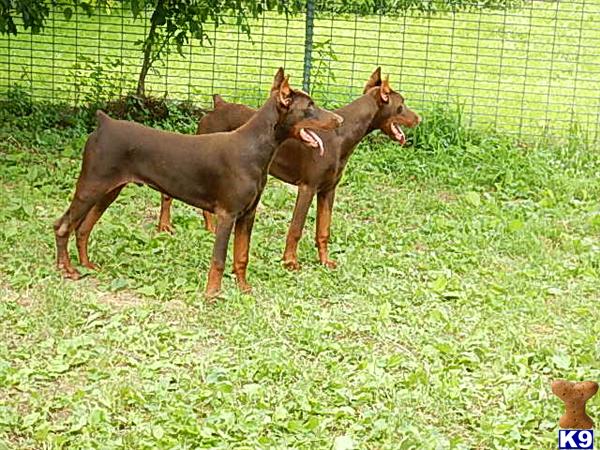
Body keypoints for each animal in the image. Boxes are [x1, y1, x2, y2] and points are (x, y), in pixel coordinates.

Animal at [54, 70, 342, 298]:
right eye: (310, 106)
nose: (339, 121)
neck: (254, 148)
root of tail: (104, 123)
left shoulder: (247, 215)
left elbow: (242, 255)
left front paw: (244, 289)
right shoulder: (227, 214)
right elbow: (218, 259)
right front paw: (212, 295)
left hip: (108, 191)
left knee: (83, 228)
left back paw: (86, 265)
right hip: (90, 186)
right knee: (63, 225)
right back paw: (66, 269)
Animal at [157, 68, 420, 268]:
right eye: (402, 104)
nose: (419, 119)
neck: (342, 135)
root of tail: (218, 105)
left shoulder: (328, 190)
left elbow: (323, 230)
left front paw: (325, 262)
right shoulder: (307, 187)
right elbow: (296, 228)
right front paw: (290, 262)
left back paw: (209, 228)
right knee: (167, 194)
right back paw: (165, 226)